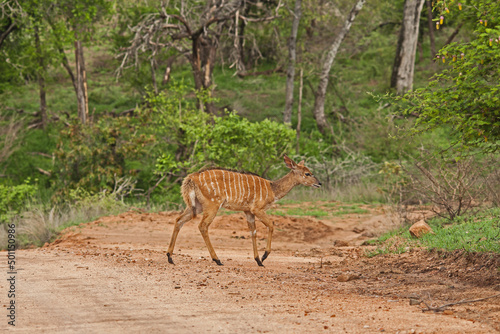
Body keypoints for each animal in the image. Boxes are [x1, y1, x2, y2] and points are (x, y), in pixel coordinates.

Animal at [166, 155, 322, 268]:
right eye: (307, 173)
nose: (319, 183)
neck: (272, 189)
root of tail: (191, 178)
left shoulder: (248, 212)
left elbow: (253, 232)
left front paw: (258, 260)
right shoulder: (257, 209)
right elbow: (271, 225)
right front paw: (264, 256)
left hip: (196, 206)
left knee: (179, 220)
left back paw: (170, 257)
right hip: (212, 205)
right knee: (202, 226)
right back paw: (217, 259)